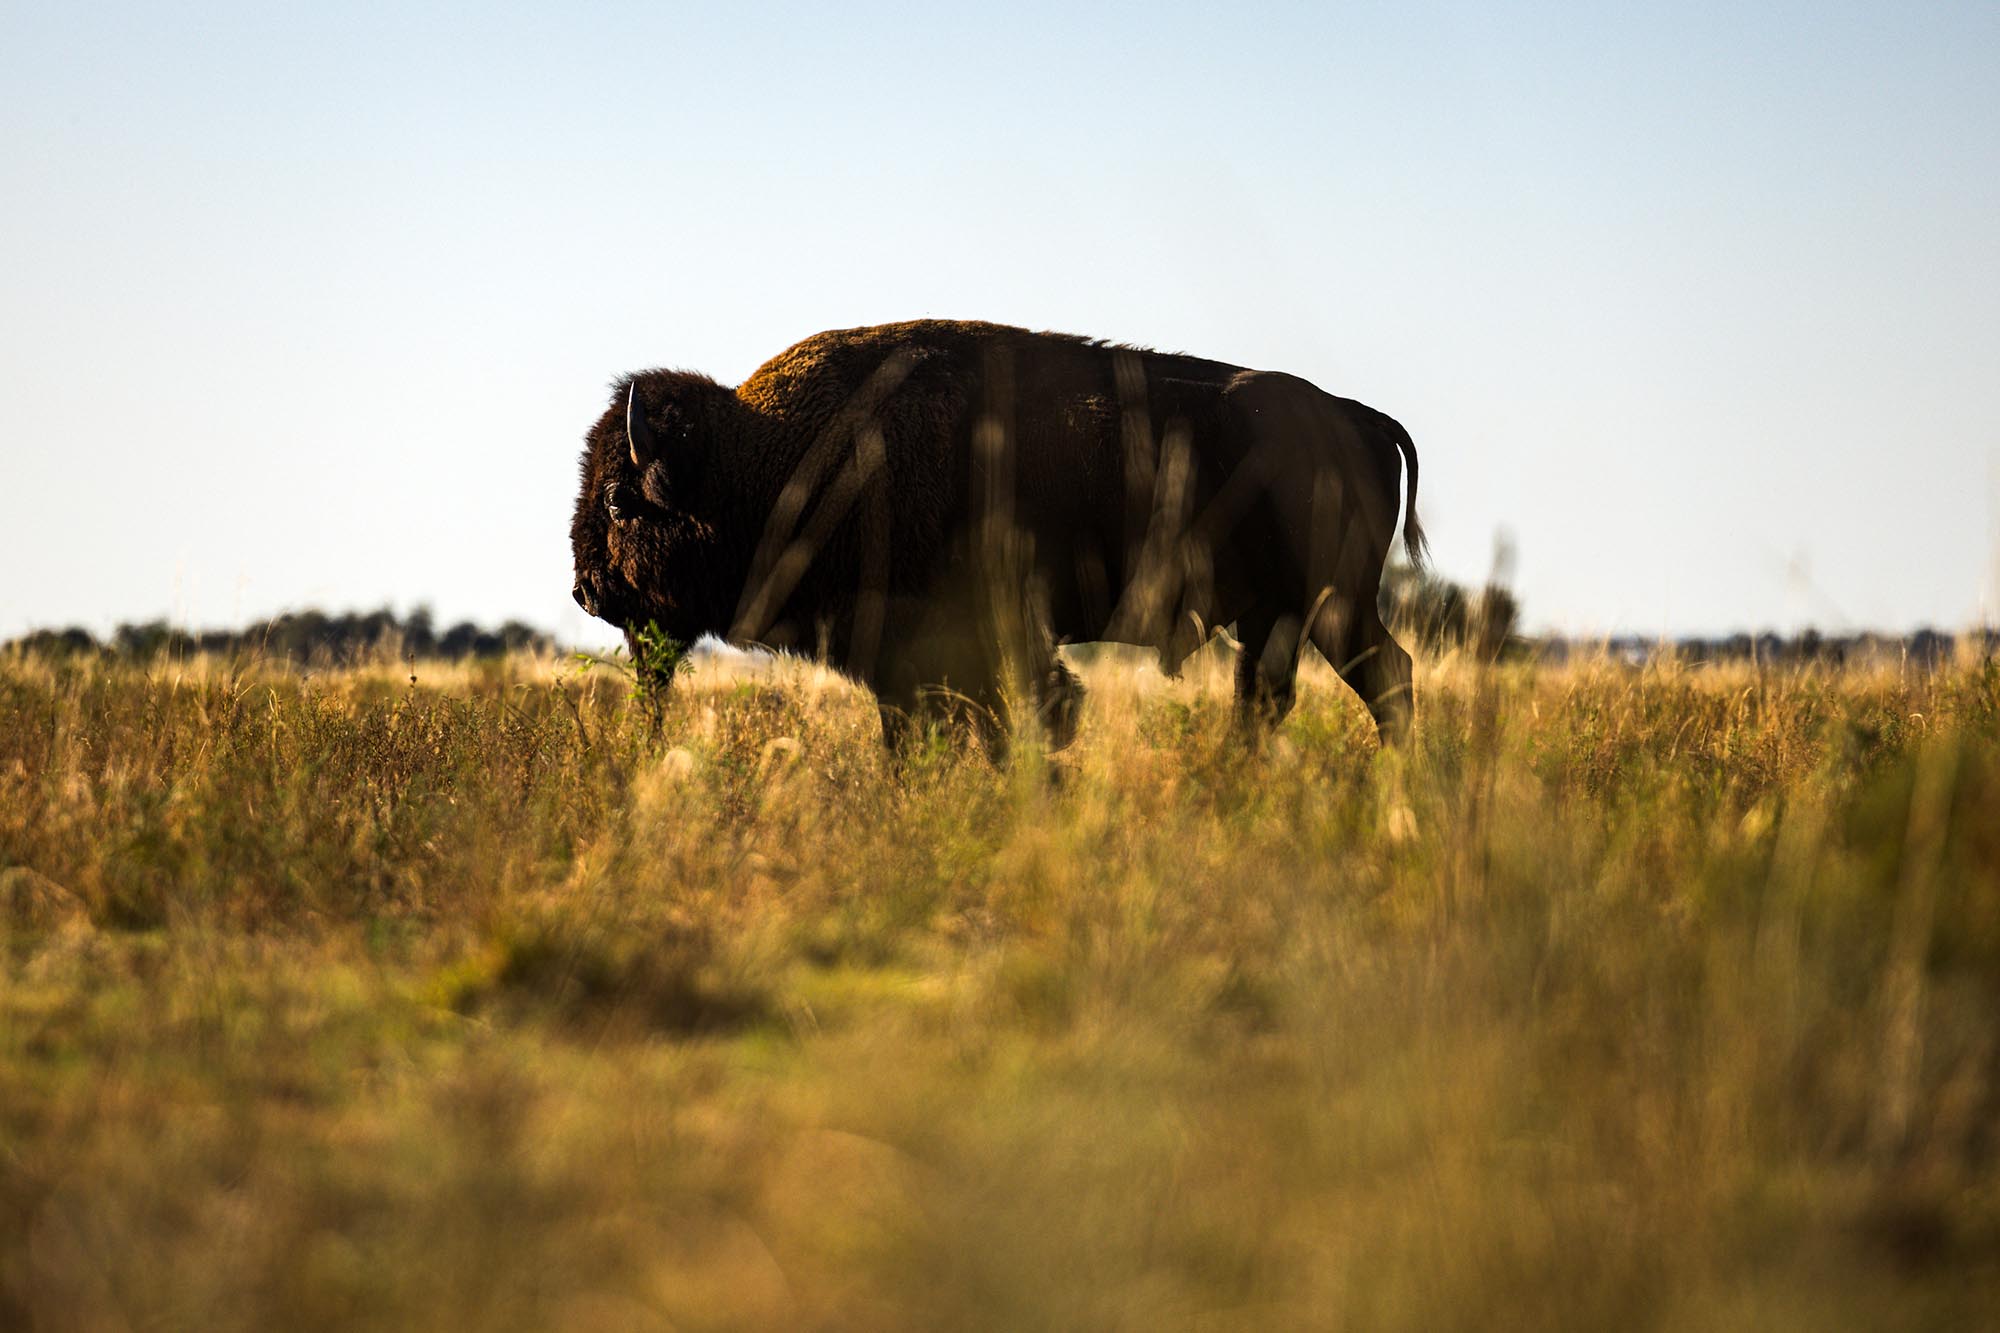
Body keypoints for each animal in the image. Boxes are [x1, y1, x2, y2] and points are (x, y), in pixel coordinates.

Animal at [570, 320, 1426, 750]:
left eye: (617, 501)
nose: (584, 591)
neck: (768, 457)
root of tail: (1360, 417)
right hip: (1284, 613)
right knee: (1290, 694)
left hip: (1328, 604)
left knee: (1376, 681)